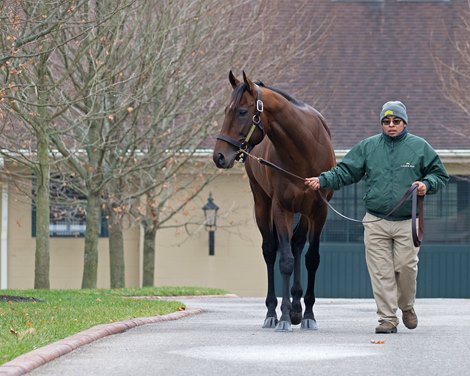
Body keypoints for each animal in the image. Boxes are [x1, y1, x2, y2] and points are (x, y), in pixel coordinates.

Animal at [213, 72, 334, 330]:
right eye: (226, 110)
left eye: (241, 111)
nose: (219, 156)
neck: (304, 152)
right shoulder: (281, 209)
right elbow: (285, 260)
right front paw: (284, 317)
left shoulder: (319, 211)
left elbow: (311, 258)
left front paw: (308, 315)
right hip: (262, 204)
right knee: (270, 251)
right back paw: (272, 313)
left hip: (305, 212)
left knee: (297, 244)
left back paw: (298, 308)